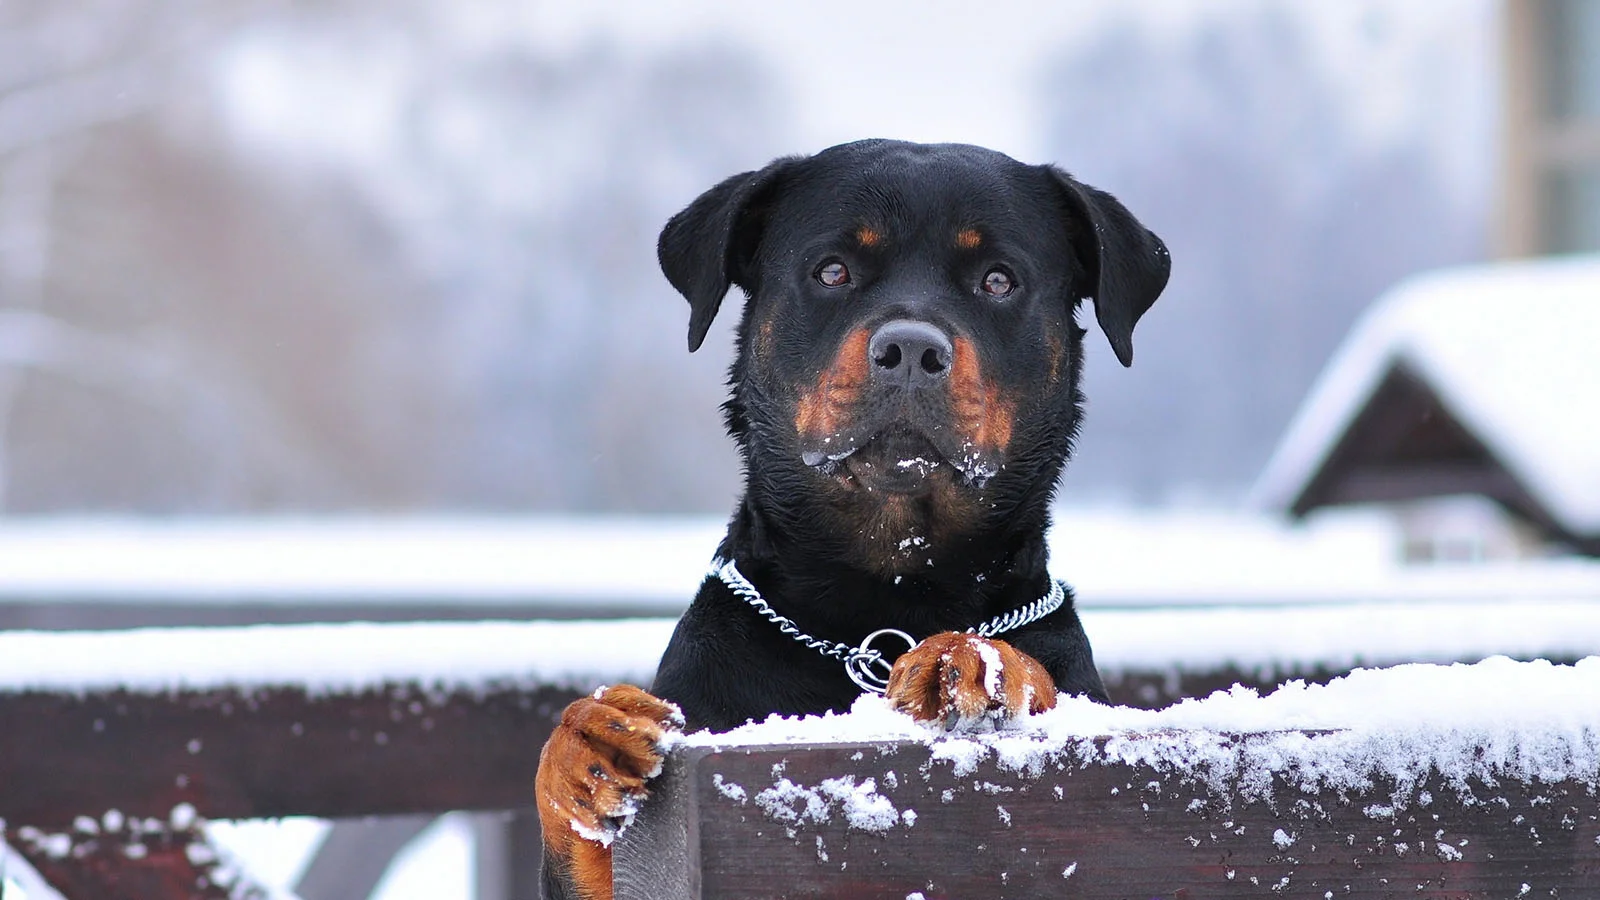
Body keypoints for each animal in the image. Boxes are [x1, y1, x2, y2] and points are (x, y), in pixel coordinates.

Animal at [531, 140, 1171, 896]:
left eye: (998, 280)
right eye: (832, 271)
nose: (912, 351)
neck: (882, 595)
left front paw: (974, 660)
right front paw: (586, 742)